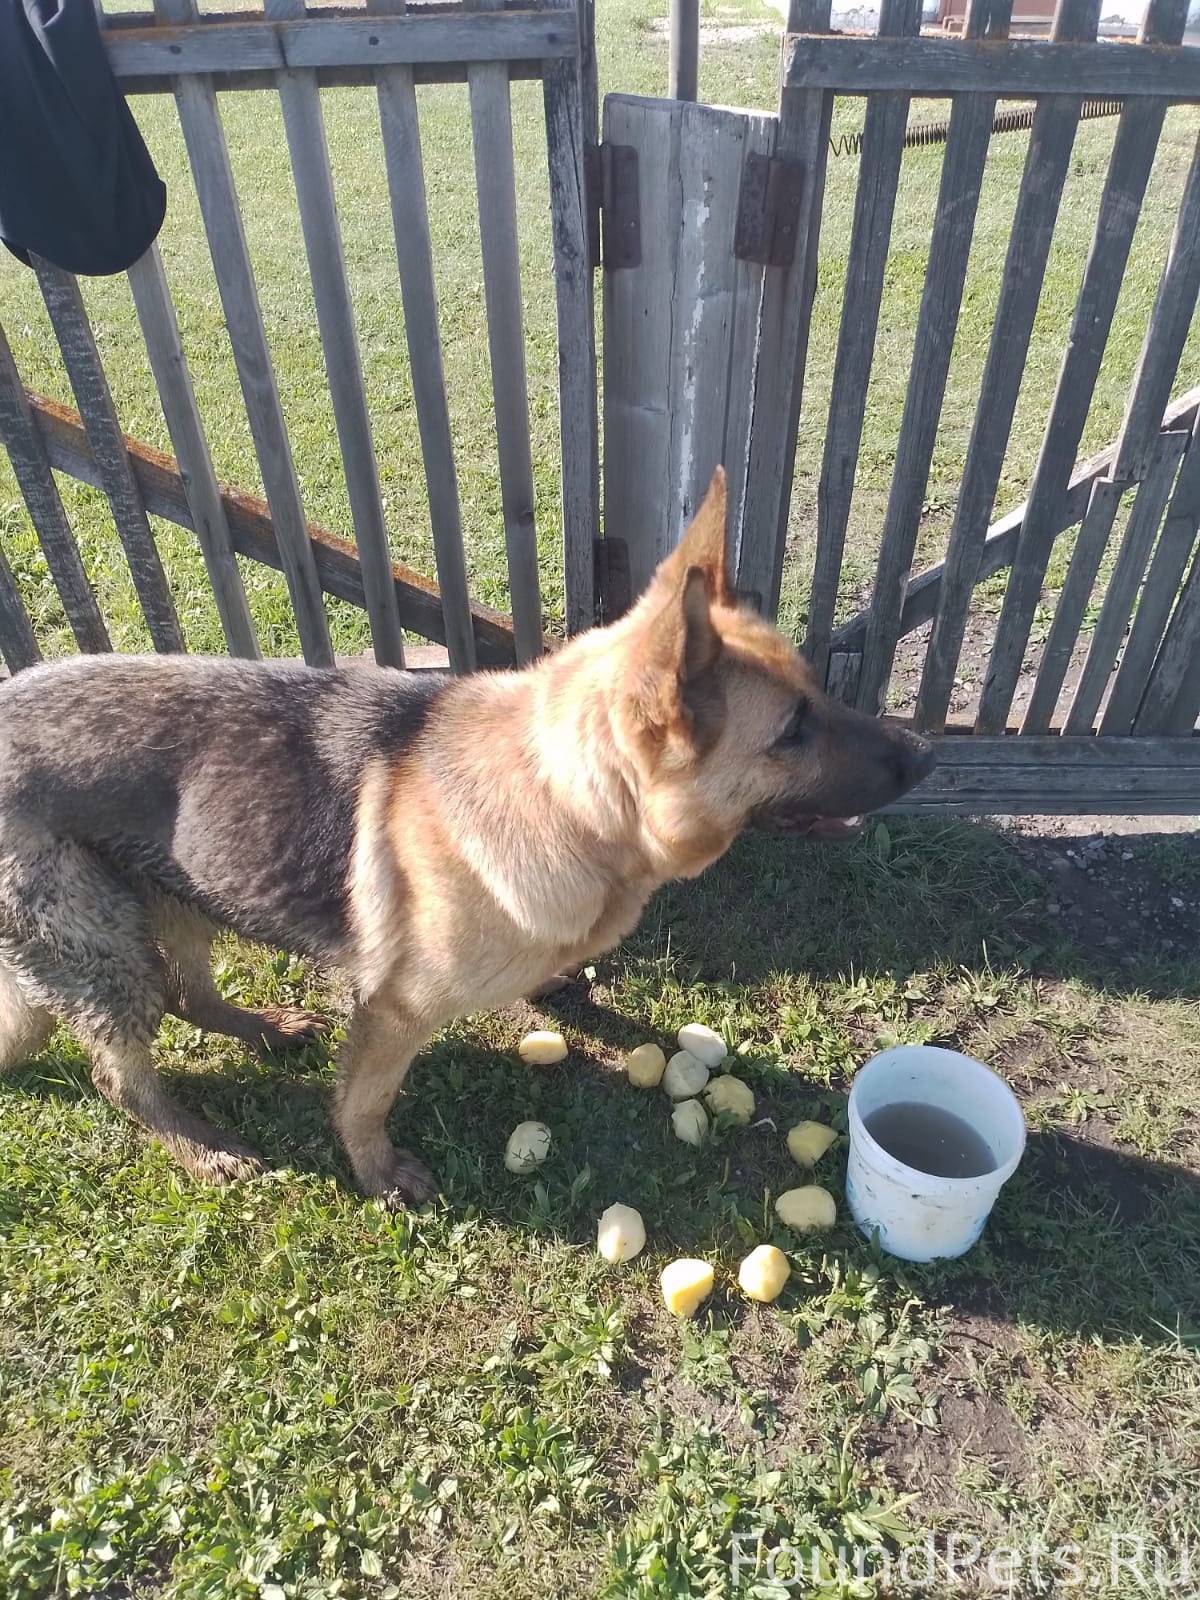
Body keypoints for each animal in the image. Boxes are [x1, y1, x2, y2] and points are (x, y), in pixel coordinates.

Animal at [0, 470, 940, 1203]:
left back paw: (262, 1031)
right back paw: (199, 1145)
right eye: (792, 731)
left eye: (817, 693)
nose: (927, 755)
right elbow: (364, 1102)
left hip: (177, 895)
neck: (565, 802)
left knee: (189, 996)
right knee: (119, 1075)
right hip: (107, 948)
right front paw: (376, 1172)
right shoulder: (393, 1010)